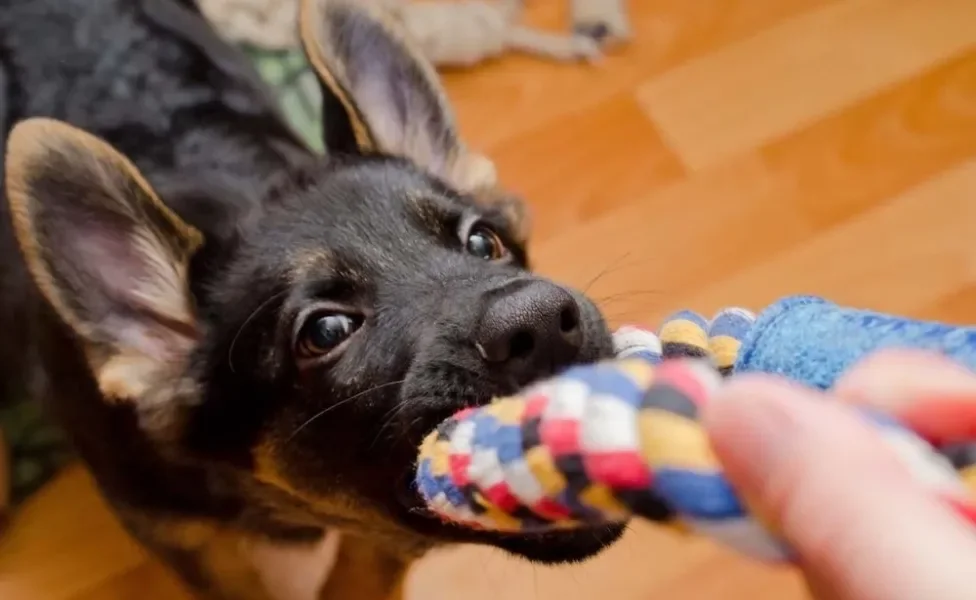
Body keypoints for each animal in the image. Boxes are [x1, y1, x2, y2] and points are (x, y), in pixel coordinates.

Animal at [0, 1, 624, 600]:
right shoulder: (186, 538)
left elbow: (364, 574)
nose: (542, 324)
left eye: (482, 242)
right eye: (326, 332)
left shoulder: (376, 541)